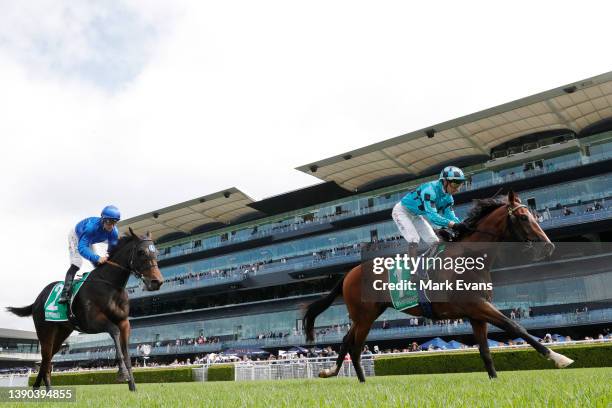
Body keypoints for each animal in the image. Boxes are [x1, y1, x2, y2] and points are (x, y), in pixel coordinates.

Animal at [5, 228, 164, 390]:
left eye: (156, 251)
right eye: (141, 252)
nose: (156, 282)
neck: (110, 286)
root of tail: (37, 300)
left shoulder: (124, 322)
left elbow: (126, 353)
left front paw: (132, 386)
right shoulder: (91, 322)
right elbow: (114, 331)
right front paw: (122, 373)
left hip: (62, 332)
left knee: (46, 360)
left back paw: (37, 388)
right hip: (45, 332)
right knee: (46, 358)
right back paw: (47, 390)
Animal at [304, 191, 572, 382]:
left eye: (535, 215)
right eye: (524, 217)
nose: (549, 246)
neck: (469, 259)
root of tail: (349, 273)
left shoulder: (476, 314)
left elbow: (486, 352)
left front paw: (495, 380)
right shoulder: (477, 306)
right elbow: (515, 326)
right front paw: (558, 357)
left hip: (367, 314)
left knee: (348, 340)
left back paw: (337, 374)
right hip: (365, 315)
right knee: (355, 345)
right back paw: (357, 380)